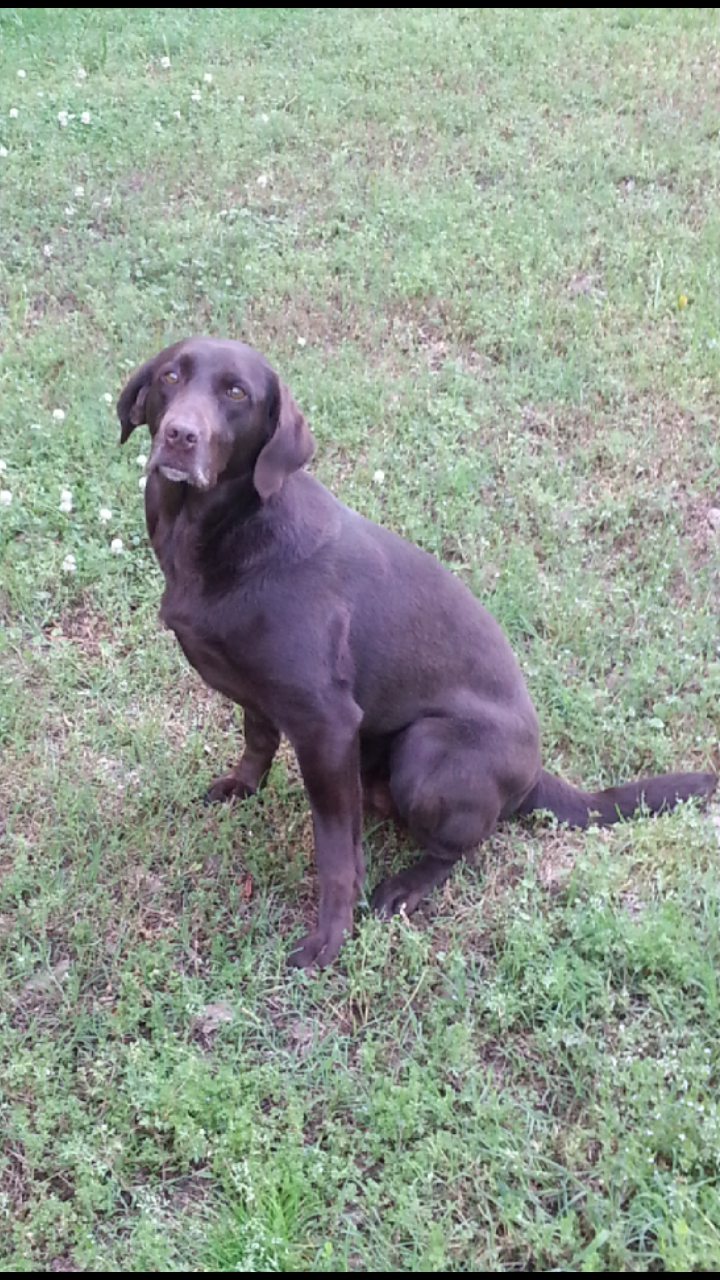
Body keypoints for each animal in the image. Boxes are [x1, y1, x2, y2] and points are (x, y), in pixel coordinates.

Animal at [116, 335, 712, 962]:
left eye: (236, 393)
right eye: (170, 377)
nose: (180, 435)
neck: (220, 529)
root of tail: (534, 775)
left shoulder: (327, 724)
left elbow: (335, 851)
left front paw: (330, 937)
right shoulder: (261, 694)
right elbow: (257, 741)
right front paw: (242, 787)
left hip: (426, 754)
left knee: (464, 846)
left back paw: (407, 885)